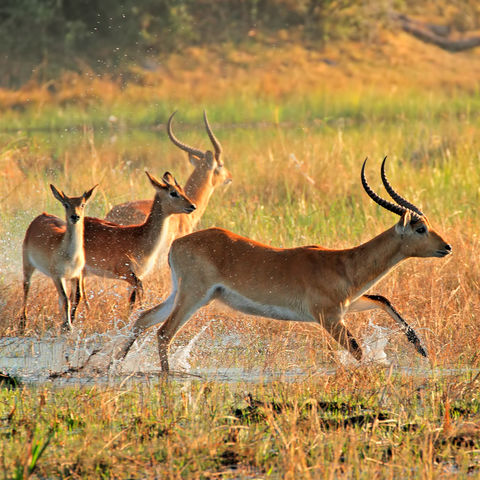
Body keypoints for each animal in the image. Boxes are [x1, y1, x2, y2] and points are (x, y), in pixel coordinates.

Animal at [21, 184, 98, 334]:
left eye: (82, 204)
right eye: (66, 204)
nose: (75, 216)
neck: (69, 256)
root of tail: (41, 215)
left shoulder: (77, 274)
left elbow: (77, 297)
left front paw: (68, 323)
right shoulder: (57, 275)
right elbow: (66, 299)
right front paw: (68, 326)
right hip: (27, 265)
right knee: (26, 287)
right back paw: (22, 323)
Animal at [82, 172, 195, 308]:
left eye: (182, 190)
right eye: (173, 192)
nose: (192, 206)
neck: (140, 237)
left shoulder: (138, 274)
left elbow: (132, 300)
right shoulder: (126, 273)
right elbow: (139, 291)